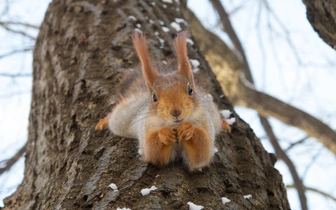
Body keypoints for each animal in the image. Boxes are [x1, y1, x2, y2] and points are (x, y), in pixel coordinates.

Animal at [96, 31, 230, 170]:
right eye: (154, 97)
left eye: (190, 90)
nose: (176, 112)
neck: (175, 126)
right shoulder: (147, 128)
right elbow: (153, 152)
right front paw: (164, 134)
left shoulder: (205, 123)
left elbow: (201, 152)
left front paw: (188, 129)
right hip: (123, 116)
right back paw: (103, 121)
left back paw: (224, 123)